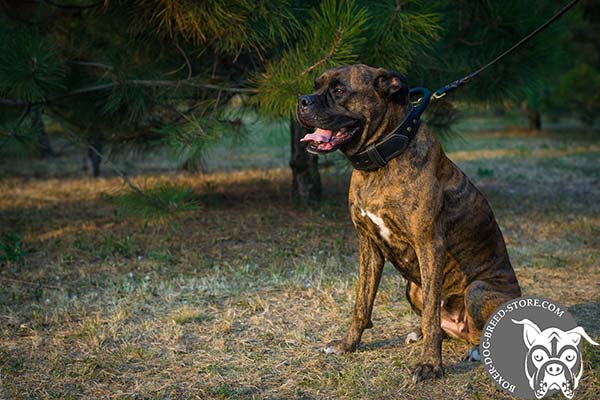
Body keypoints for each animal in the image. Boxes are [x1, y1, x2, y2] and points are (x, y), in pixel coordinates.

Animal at [296, 64, 520, 382]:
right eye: (315, 87)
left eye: (339, 90)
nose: (302, 100)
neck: (381, 161)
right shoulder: (369, 246)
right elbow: (362, 303)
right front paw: (348, 344)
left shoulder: (430, 246)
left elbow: (429, 315)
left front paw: (430, 365)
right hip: (412, 288)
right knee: (439, 322)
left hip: (477, 289)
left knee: (473, 328)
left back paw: (475, 349)